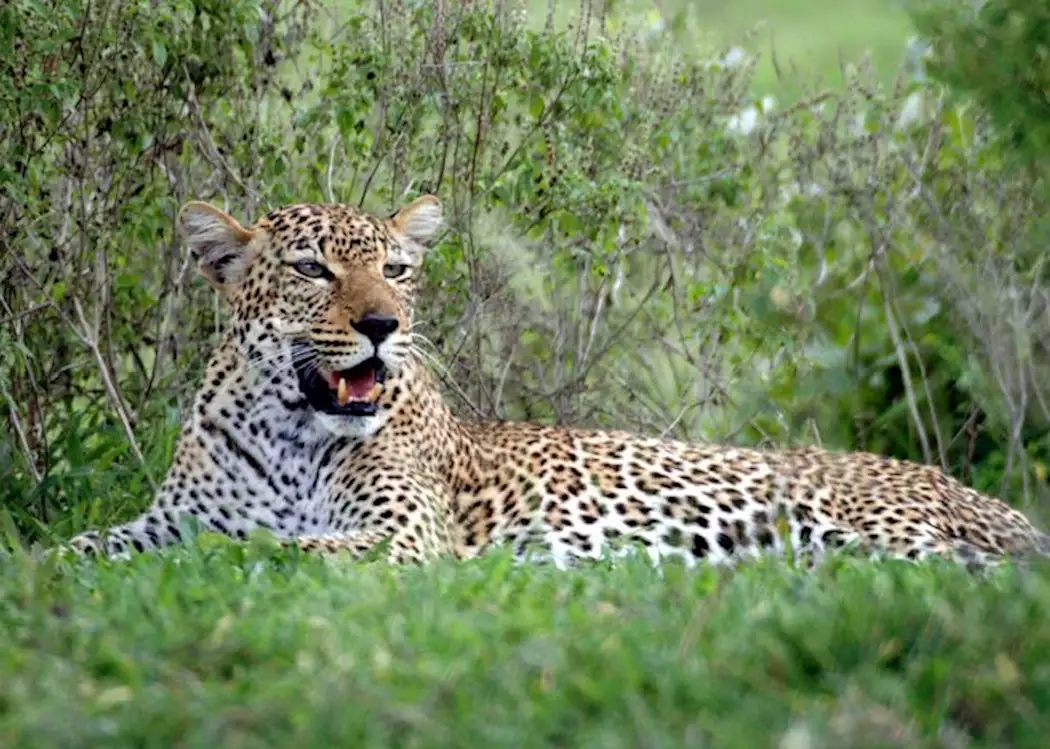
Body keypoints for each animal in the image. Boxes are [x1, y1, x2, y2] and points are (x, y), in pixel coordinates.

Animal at [62, 196, 1050, 572]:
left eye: (396, 270)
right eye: (311, 268)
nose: (385, 325)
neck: (285, 429)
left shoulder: (406, 534)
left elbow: (278, 546)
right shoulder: (165, 516)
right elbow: (82, 545)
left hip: (882, 533)